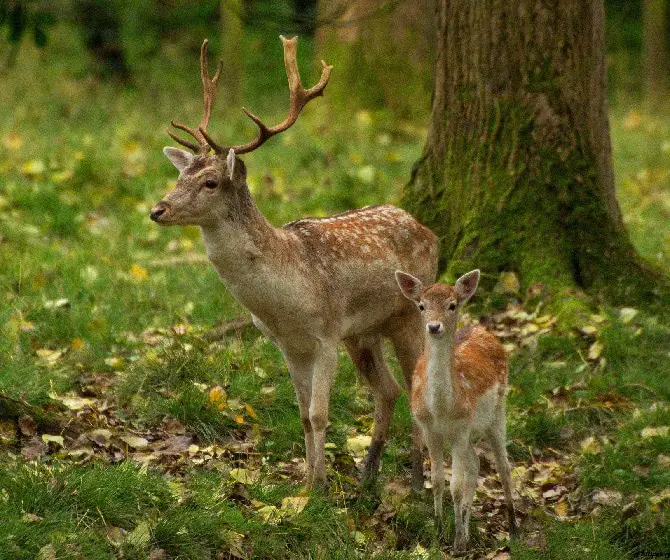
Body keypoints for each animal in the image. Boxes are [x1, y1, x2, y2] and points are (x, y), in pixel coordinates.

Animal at [150, 37, 438, 488]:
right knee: (388, 389)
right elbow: (303, 417)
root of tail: (431, 233)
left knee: (415, 390)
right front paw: (308, 484)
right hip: (364, 331)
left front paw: (319, 487)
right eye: (180, 177)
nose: (157, 210)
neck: (284, 297)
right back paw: (368, 476)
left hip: (408, 316)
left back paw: (415, 481)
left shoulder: (326, 334)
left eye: (210, 182)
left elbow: (320, 415)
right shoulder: (289, 344)